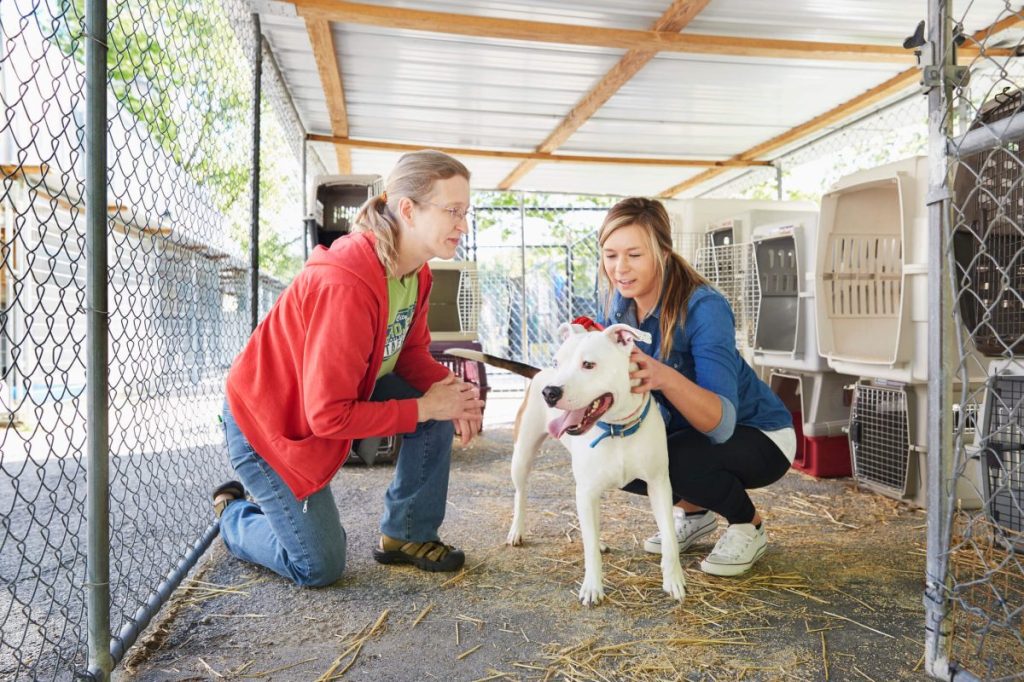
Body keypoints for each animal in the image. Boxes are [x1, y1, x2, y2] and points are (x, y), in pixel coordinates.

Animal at [454, 321, 679, 602]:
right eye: (557, 362)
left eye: (589, 364)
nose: (550, 392)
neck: (616, 429)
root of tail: (540, 373)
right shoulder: (587, 489)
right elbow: (589, 548)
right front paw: (592, 587)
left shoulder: (659, 484)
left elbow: (669, 536)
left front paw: (675, 581)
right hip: (522, 456)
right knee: (521, 493)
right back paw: (517, 530)